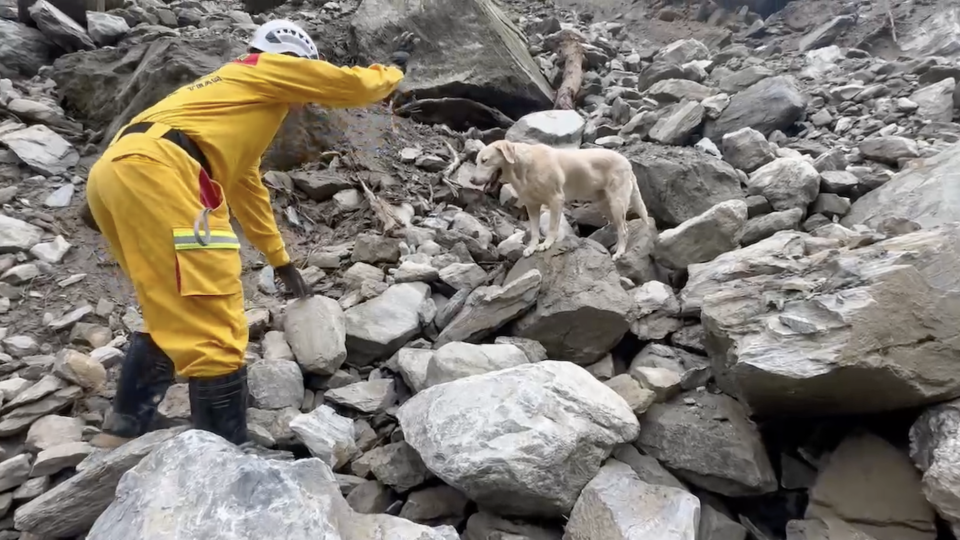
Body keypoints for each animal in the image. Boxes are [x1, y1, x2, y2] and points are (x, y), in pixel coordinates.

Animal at [470, 140, 652, 260]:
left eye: (485, 160)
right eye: (476, 161)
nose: (471, 180)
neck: (524, 168)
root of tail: (627, 162)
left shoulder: (556, 200)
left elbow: (552, 227)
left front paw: (547, 244)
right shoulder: (532, 206)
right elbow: (534, 231)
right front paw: (532, 247)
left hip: (617, 203)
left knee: (624, 229)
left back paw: (620, 252)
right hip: (604, 205)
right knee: (620, 226)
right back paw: (616, 247)